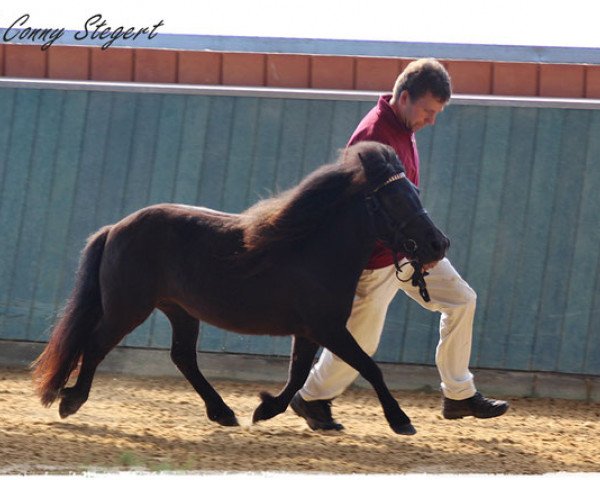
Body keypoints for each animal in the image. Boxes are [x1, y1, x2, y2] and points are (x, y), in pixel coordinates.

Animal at [30, 142, 448, 436]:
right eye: (395, 199)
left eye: (415, 192)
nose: (438, 244)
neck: (314, 249)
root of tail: (115, 228)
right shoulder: (327, 328)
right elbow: (368, 366)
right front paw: (401, 420)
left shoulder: (310, 330)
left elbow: (298, 374)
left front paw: (264, 409)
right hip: (128, 307)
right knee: (95, 344)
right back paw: (71, 400)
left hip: (179, 310)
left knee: (183, 357)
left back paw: (223, 412)